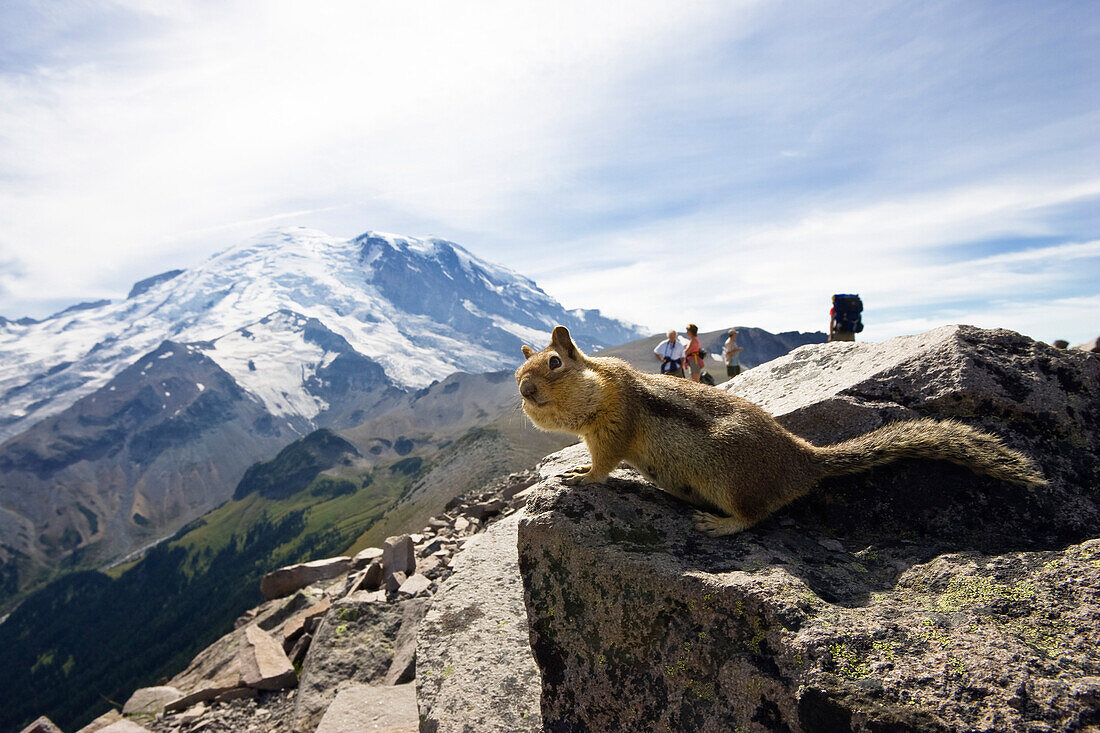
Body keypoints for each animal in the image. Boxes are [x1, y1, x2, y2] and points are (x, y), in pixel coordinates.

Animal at [517, 323, 1047, 530]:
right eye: (520, 370)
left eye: (555, 363)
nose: (522, 390)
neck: (599, 389)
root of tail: (804, 460)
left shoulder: (614, 425)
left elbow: (603, 465)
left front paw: (577, 476)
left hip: (730, 480)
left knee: (753, 518)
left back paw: (716, 524)